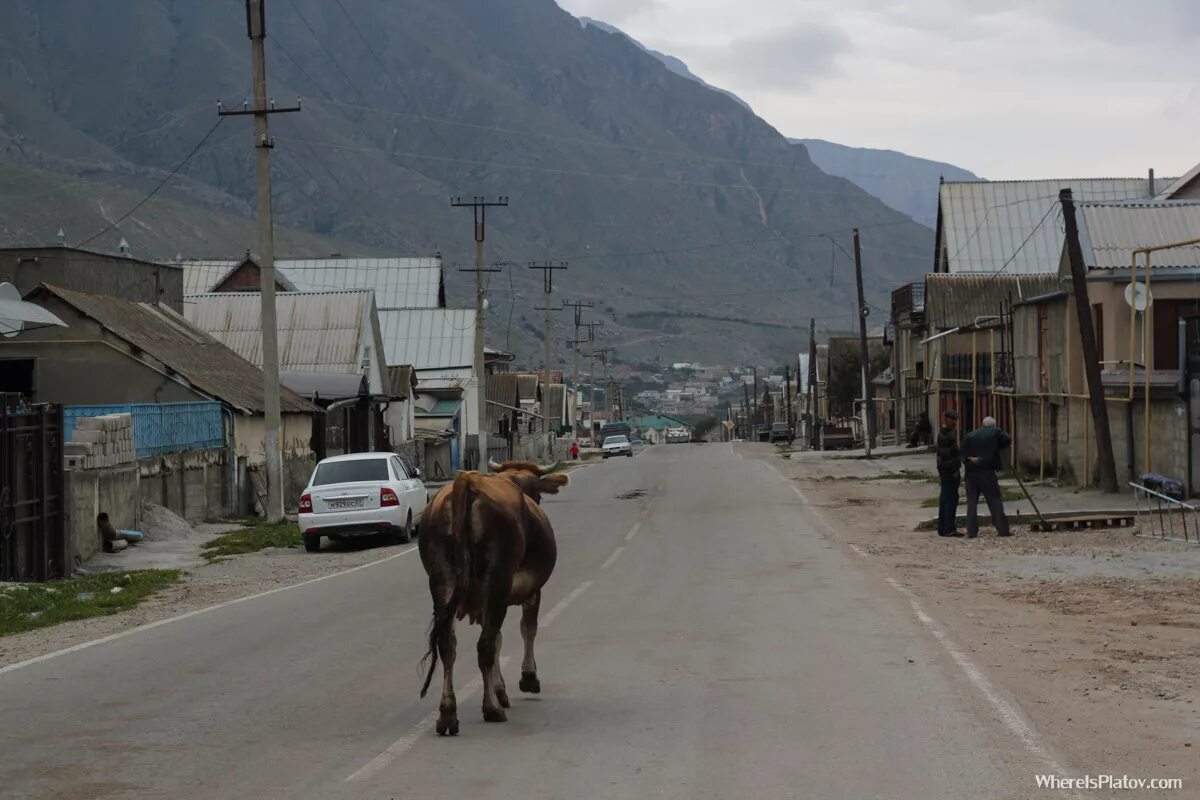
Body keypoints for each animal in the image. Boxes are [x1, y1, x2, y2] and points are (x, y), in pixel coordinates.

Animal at [417, 460, 566, 734]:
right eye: (538, 495)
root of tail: (465, 482)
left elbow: (499, 638)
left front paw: (501, 690)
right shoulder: (529, 590)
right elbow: (526, 629)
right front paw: (526, 678)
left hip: (442, 584)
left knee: (448, 645)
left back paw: (448, 714)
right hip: (497, 581)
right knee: (484, 646)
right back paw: (491, 708)